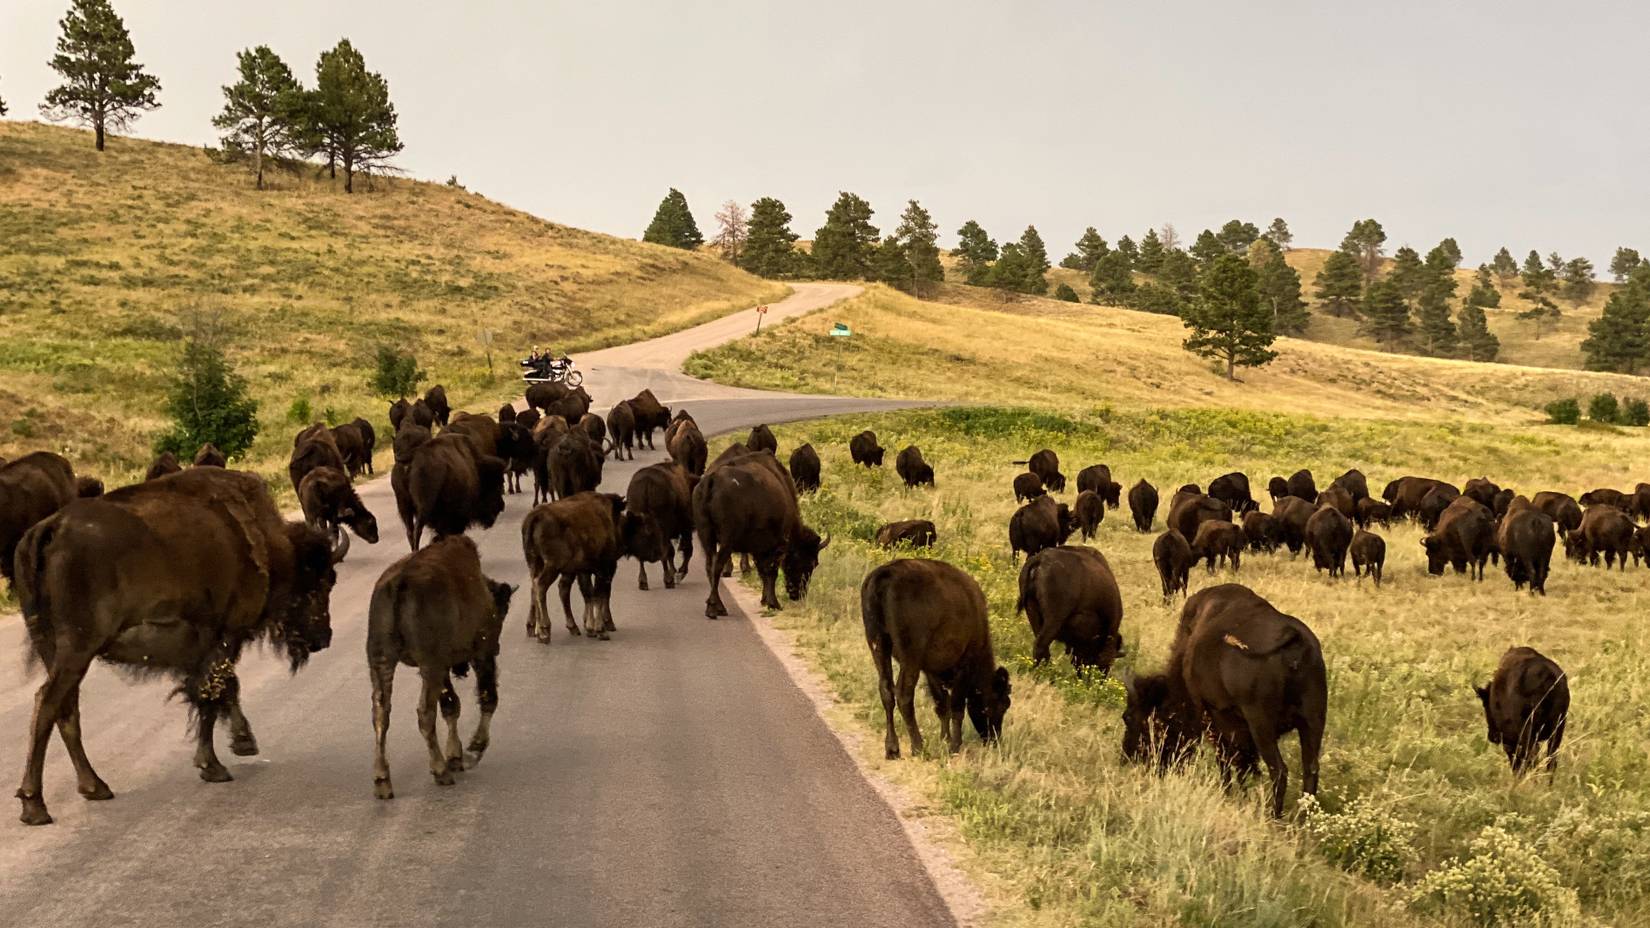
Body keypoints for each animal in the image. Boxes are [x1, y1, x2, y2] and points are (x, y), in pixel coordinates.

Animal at [367, 535, 516, 799]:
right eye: (503, 610)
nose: (498, 646)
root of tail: (399, 583)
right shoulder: (481, 653)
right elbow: (487, 698)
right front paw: (473, 748)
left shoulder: (442, 665)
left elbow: (450, 705)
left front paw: (455, 756)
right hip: (430, 665)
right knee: (425, 713)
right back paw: (440, 771)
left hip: (382, 661)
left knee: (381, 713)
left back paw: (382, 781)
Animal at [861, 559, 1011, 757]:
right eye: (1003, 704)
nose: (994, 740)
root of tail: (883, 575)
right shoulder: (964, 666)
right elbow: (956, 707)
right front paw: (954, 745)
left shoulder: (931, 670)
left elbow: (942, 705)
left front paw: (945, 739)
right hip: (910, 658)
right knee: (903, 694)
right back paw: (918, 746)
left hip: (878, 644)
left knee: (886, 690)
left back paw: (892, 748)